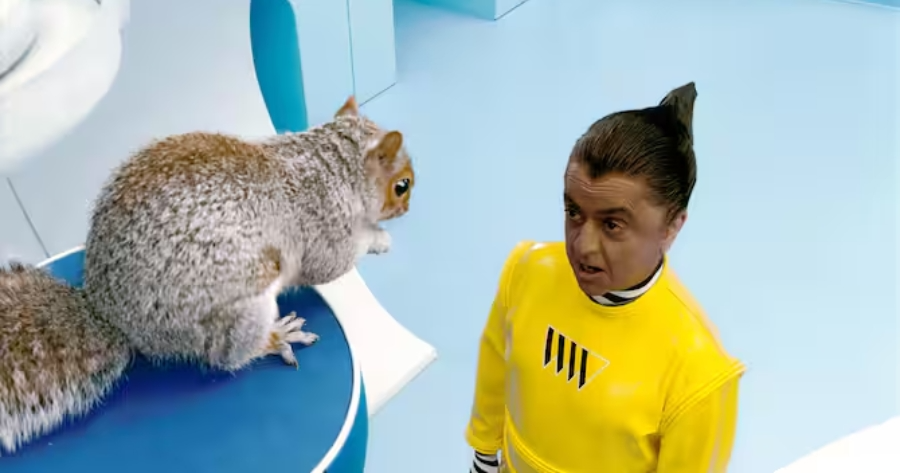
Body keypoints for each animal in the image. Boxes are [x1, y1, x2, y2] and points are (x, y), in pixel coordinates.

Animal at [0, 96, 415, 455]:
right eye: (402, 185)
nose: (408, 208)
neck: (331, 165)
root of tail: (112, 318)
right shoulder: (323, 222)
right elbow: (331, 262)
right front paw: (378, 239)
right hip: (240, 306)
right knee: (228, 358)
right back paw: (276, 338)